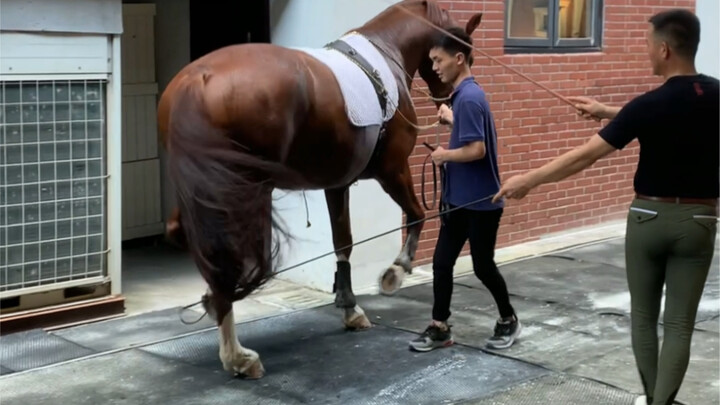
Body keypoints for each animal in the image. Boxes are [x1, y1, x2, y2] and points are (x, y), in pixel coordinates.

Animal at [158, 0, 484, 378]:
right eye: (465, 52)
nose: (449, 99)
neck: (385, 55)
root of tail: (198, 80)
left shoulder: (337, 183)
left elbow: (343, 242)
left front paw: (350, 308)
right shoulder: (393, 170)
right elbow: (417, 215)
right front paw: (394, 274)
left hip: (203, 192)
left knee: (182, 234)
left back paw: (219, 317)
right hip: (239, 192)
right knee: (220, 255)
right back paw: (238, 356)